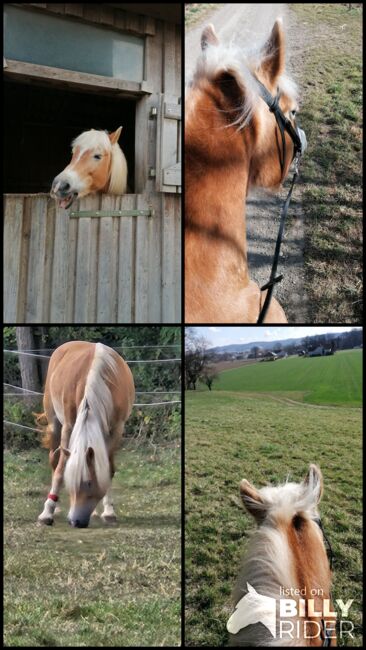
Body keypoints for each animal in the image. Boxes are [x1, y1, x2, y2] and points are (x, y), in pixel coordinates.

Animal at [37, 340, 134, 528]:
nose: (75, 521)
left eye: (88, 483)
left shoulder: (116, 429)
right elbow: (60, 470)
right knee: (54, 459)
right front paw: (47, 513)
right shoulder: (68, 426)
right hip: (54, 424)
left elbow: (107, 469)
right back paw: (55, 507)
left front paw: (108, 511)